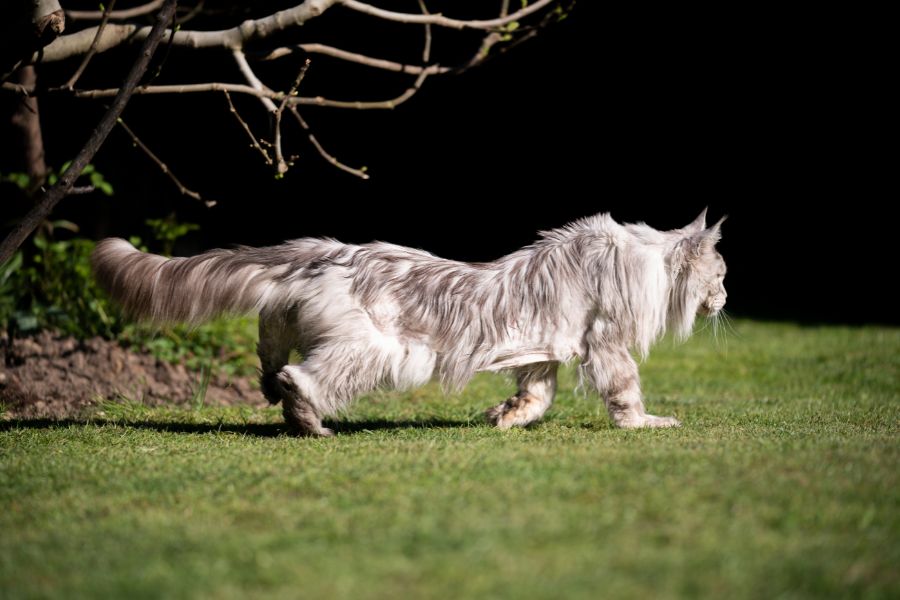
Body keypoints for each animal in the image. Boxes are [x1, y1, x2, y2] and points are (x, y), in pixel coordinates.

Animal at [91, 209, 724, 434]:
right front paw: (646, 424)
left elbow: (535, 395)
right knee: (303, 379)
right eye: (720, 275)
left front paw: (506, 418)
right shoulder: (605, 342)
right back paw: (308, 423)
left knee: (271, 357)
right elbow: (625, 393)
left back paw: (275, 394)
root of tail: (326, 250)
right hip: (374, 350)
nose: (726, 298)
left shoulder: (544, 350)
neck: (642, 260)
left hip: (287, 318)